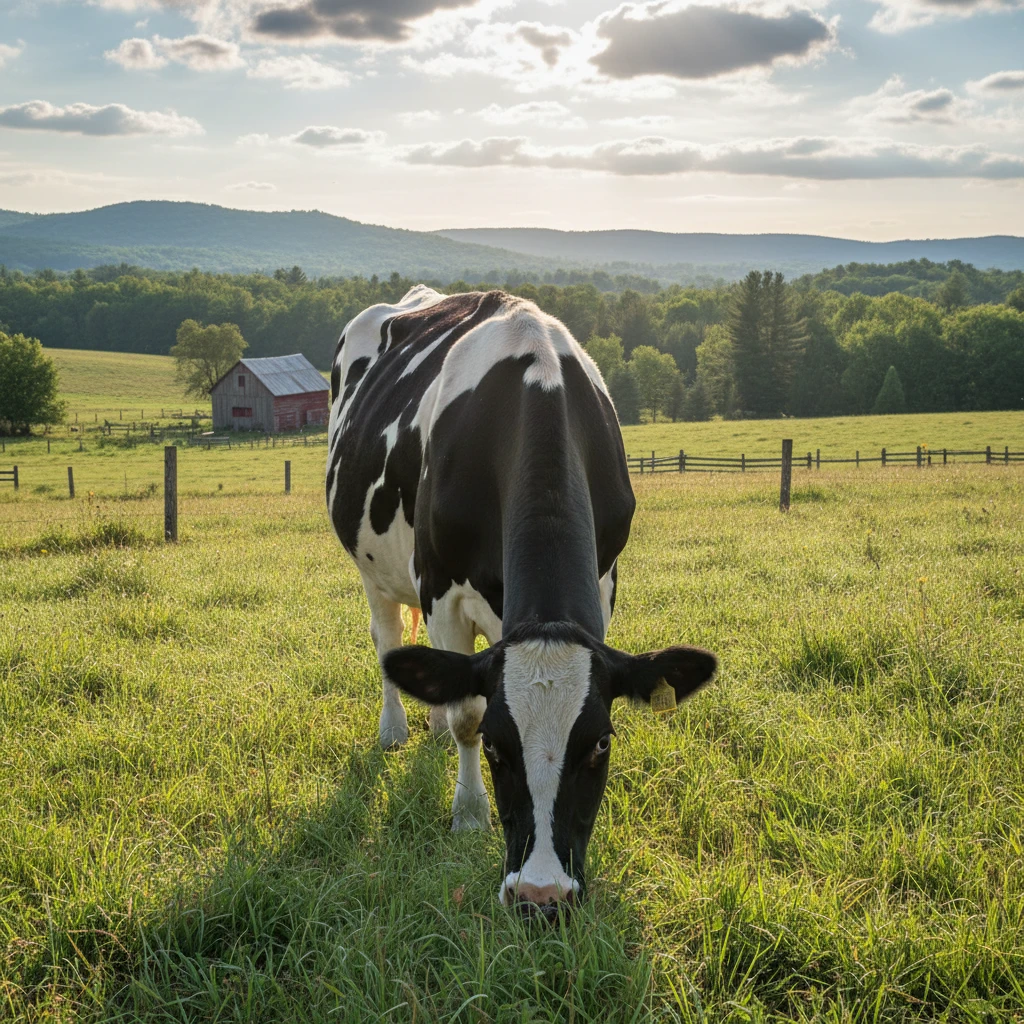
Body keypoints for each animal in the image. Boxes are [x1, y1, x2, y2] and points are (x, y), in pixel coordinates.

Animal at [326, 286, 717, 919]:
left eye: (601, 742)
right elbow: (466, 711)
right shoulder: (440, 588)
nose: (542, 896)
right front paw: (469, 815)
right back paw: (395, 729)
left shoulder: (604, 582)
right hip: (372, 566)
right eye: (495, 745)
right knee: (388, 640)